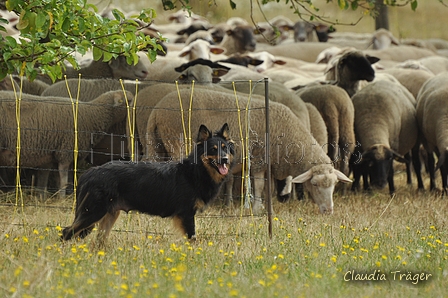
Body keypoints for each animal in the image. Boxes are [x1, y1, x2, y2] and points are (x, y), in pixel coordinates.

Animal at [0, 89, 133, 197]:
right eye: (129, 100)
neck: (91, 115)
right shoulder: (66, 151)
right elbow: (63, 178)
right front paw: (62, 198)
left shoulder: (49, 154)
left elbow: (45, 178)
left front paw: (42, 198)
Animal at [61, 123, 234, 242]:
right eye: (213, 149)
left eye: (225, 148)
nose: (225, 159)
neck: (196, 171)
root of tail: (90, 172)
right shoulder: (186, 214)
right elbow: (193, 239)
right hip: (92, 212)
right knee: (65, 233)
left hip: (108, 215)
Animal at [145, 88, 352, 214]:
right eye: (315, 184)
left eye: (334, 184)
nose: (329, 211)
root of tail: (156, 112)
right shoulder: (259, 159)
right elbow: (259, 185)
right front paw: (257, 207)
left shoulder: (269, 164)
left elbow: (269, 187)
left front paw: (269, 208)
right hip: (177, 142)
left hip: (156, 145)